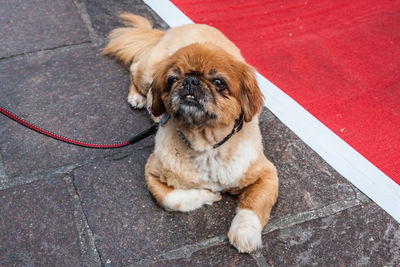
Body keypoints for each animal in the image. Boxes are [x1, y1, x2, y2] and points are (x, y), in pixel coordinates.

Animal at [103, 14, 278, 253]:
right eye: (172, 80)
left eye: (218, 82)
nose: (190, 80)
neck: (206, 145)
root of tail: (173, 30)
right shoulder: (152, 171)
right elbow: (171, 198)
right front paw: (207, 195)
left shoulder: (267, 175)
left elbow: (253, 206)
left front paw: (245, 233)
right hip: (147, 72)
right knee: (135, 66)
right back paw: (137, 97)